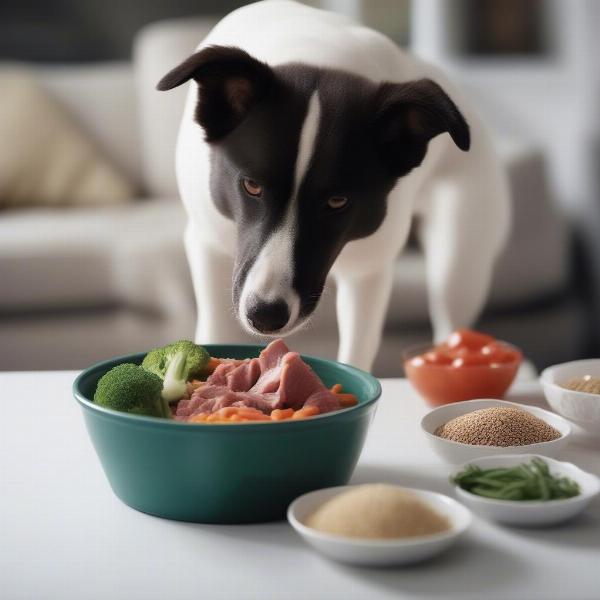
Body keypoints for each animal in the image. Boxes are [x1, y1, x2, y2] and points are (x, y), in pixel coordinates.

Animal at [157, 1, 508, 370]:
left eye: (338, 201)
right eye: (251, 186)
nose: (266, 316)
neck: (319, 56)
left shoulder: (368, 273)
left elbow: (357, 351)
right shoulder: (207, 245)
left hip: (458, 259)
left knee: (451, 314)